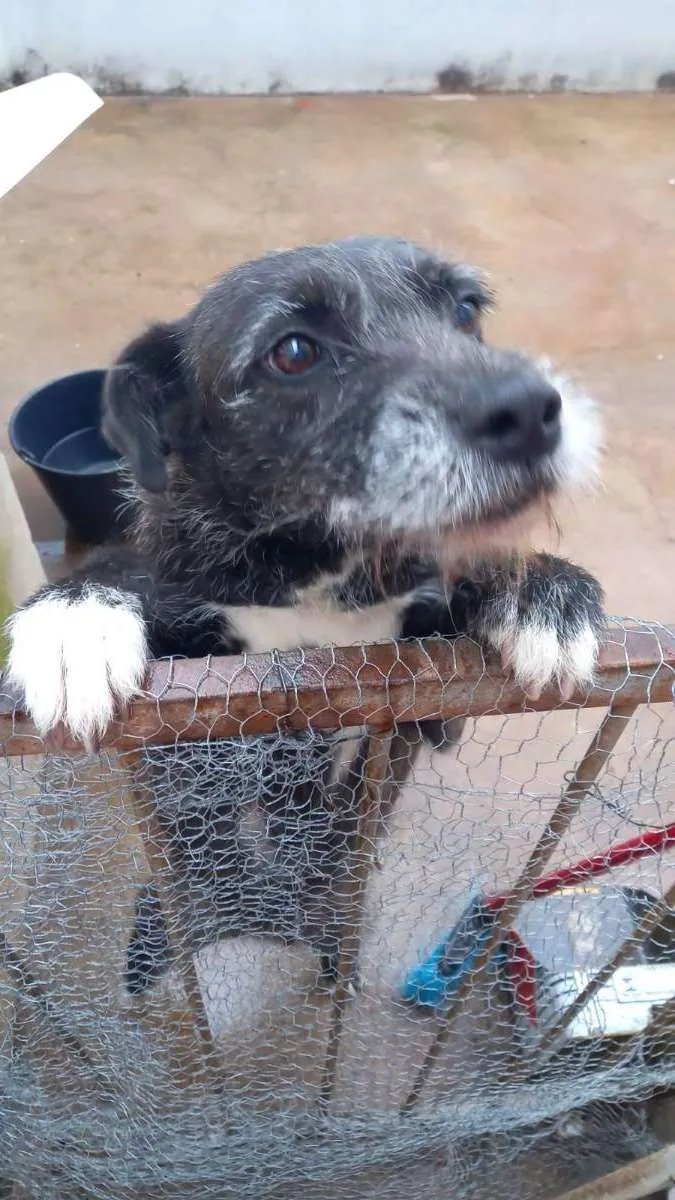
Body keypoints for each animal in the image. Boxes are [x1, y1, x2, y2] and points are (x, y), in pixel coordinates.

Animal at [3, 236, 605, 993]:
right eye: (293, 351)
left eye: (466, 310)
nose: (527, 410)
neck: (318, 576)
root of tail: (257, 913)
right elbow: (129, 573)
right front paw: (74, 615)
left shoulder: (433, 712)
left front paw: (540, 589)